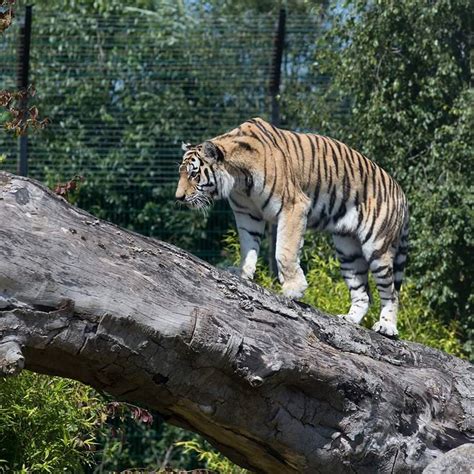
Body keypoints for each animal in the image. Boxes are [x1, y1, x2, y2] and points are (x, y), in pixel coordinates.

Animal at [176, 116, 410, 336]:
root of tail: (401, 192)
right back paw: (349, 319)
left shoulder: (293, 207)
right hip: (348, 251)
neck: (239, 180)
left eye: (194, 174)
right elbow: (248, 246)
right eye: (181, 173)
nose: (178, 197)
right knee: (363, 292)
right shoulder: (247, 214)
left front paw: (293, 289)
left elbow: (284, 251)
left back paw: (387, 327)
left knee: (392, 292)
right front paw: (243, 273)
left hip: (377, 247)